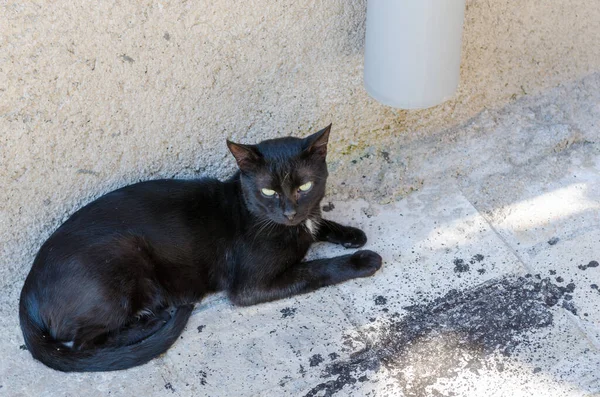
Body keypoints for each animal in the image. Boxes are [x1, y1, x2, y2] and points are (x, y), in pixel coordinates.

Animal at [21, 124, 384, 372]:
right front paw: (363, 259)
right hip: (121, 259)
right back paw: (155, 321)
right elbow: (314, 269)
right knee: (86, 343)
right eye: (268, 192)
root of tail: (26, 292)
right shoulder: (251, 286)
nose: (290, 212)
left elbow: (319, 223)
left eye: (305, 186)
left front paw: (351, 234)